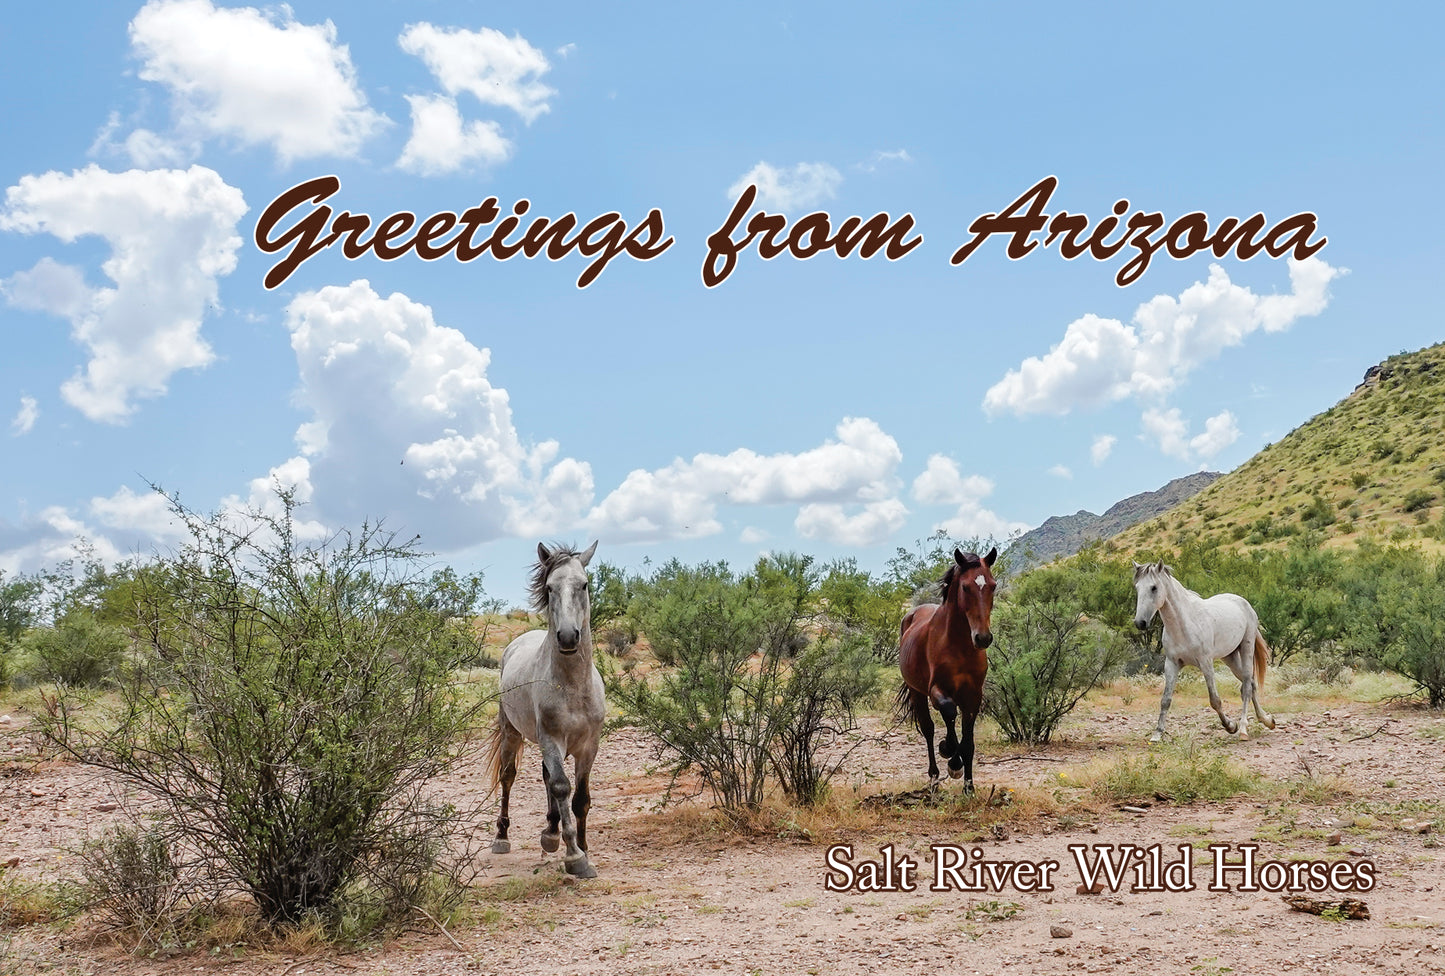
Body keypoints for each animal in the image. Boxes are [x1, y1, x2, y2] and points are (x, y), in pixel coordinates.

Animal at [486, 541, 605, 878]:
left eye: (584, 584)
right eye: (550, 587)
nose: (567, 636)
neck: (573, 687)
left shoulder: (588, 746)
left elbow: (580, 799)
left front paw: (584, 848)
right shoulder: (552, 740)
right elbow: (562, 787)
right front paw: (575, 856)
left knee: (545, 777)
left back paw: (550, 833)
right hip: (512, 733)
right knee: (509, 777)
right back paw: (502, 837)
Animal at [897, 547, 998, 791]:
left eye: (993, 585)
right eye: (965, 587)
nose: (983, 638)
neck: (960, 647)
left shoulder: (973, 696)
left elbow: (968, 742)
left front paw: (969, 787)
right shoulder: (937, 690)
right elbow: (949, 712)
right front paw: (951, 757)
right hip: (917, 692)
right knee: (928, 728)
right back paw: (934, 777)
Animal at [1132, 561, 1277, 742]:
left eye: (1154, 588)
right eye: (1137, 587)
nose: (1140, 623)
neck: (1184, 624)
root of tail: (1243, 602)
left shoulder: (1206, 663)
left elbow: (1215, 700)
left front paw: (1231, 726)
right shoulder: (1171, 664)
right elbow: (1165, 699)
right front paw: (1157, 733)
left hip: (1246, 648)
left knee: (1247, 687)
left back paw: (1243, 729)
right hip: (1229, 657)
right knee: (1250, 683)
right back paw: (1267, 720)